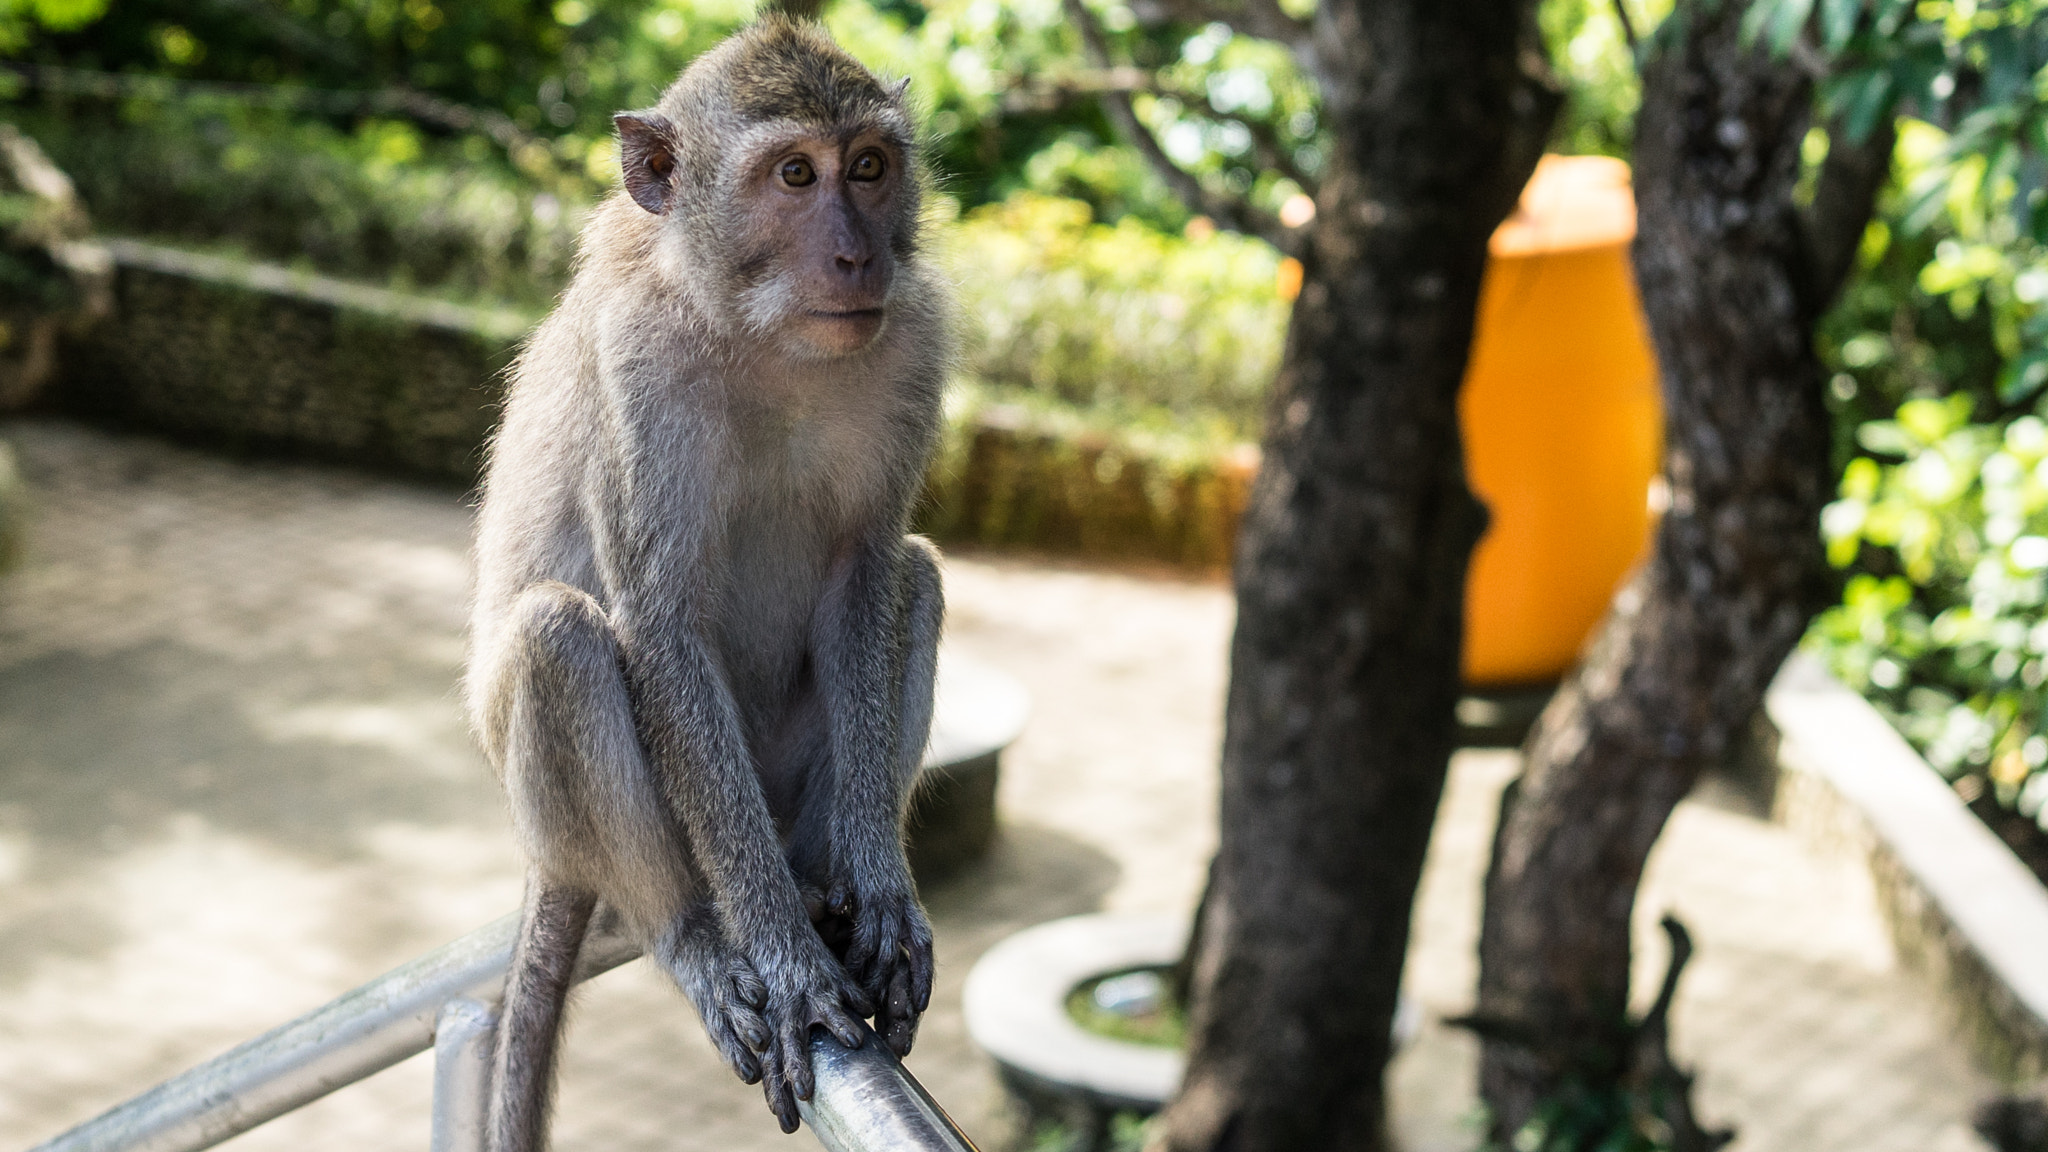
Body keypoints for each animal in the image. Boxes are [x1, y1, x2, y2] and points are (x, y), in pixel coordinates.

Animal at [462, 15, 942, 1139]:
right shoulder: (636, 376)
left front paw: (881, 890)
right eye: (794, 174)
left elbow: (869, 572)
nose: (856, 253)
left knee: (919, 572)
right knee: (557, 636)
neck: (762, 335)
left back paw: (830, 887)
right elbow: (660, 624)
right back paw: (700, 938)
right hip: (581, 826)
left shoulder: (912, 342)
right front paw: (784, 963)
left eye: (868, 166)